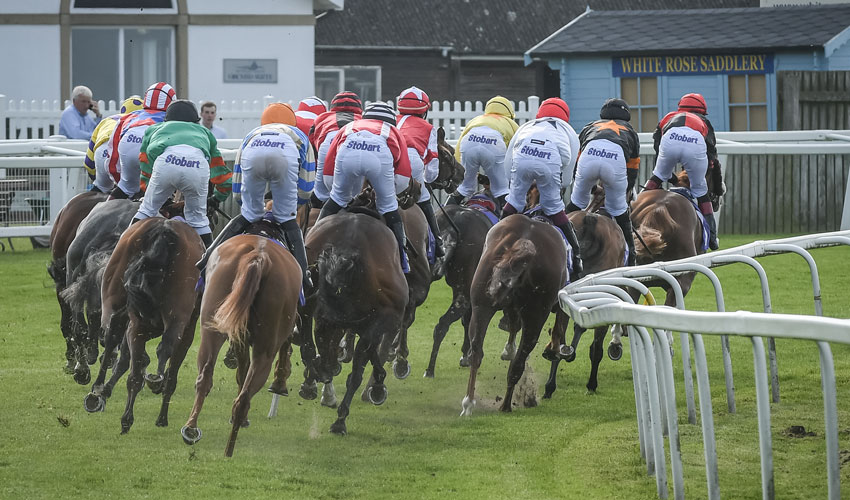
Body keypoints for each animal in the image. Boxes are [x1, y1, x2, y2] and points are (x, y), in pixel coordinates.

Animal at [83, 218, 204, 434]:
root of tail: (165, 228)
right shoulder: (185, 328)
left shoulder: (133, 321)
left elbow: (124, 359)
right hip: (175, 317)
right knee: (164, 348)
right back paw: (155, 386)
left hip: (124, 307)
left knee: (123, 347)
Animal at [180, 232, 302, 456]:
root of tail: (258, 258)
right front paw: (280, 382)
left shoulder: (238, 335)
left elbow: (241, 371)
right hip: (265, 346)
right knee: (245, 394)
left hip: (212, 326)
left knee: (206, 375)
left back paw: (193, 430)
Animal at [460, 214, 568, 414]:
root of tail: (525, 241)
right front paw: (553, 349)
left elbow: (513, 325)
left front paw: (509, 349)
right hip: (536, 316)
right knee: (518, 363)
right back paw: (505, 406)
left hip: (480, 306)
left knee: (477, 351)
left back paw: (468, 403)